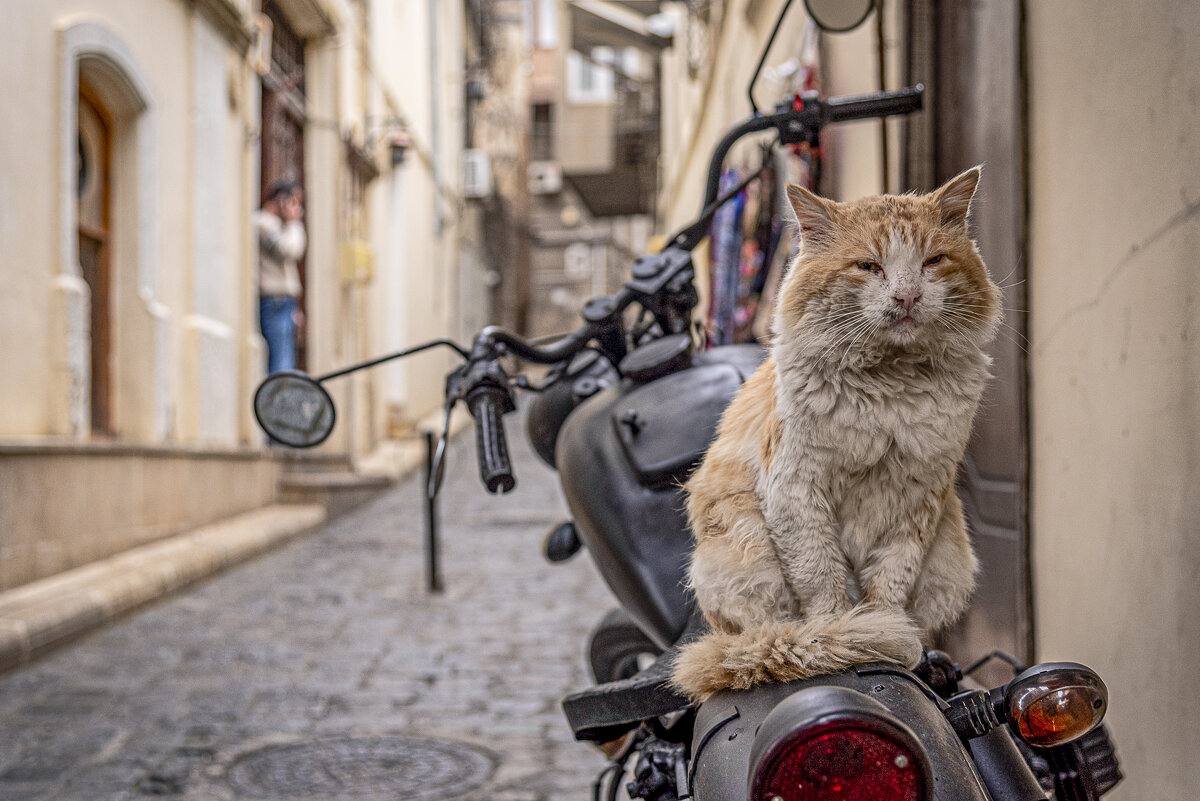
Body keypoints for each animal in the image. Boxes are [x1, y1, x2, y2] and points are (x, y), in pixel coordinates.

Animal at [676, 169, 1003, 700]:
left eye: (933, 261)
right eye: (868, 266)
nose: (907, 298)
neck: (890, 385)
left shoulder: (918, 500)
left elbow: (889, 584)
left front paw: (881, 633)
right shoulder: (796, 490)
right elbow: (822, 579)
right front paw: (840, 638)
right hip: (740, 554)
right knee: (766, 629)